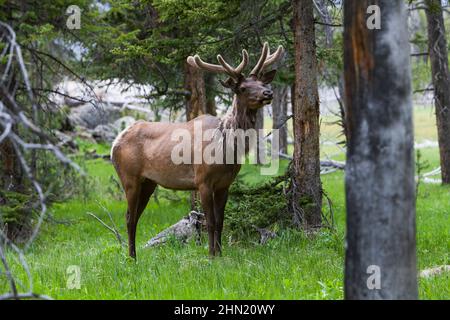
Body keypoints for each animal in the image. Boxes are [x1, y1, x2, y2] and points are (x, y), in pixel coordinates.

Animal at [110, 42, 284, 258]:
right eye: (243, 88)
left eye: (261, 82)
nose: (268, 93)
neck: (225, 150)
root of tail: (115, 143)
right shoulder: (203, 180)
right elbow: (210, 222)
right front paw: (211, 255)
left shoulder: (225, 184)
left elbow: (220, 222)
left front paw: (220, 254)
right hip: (129, 177)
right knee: (129, 217)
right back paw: (132, 257)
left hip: (148, 182)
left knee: (134, 216)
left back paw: (133, 256)